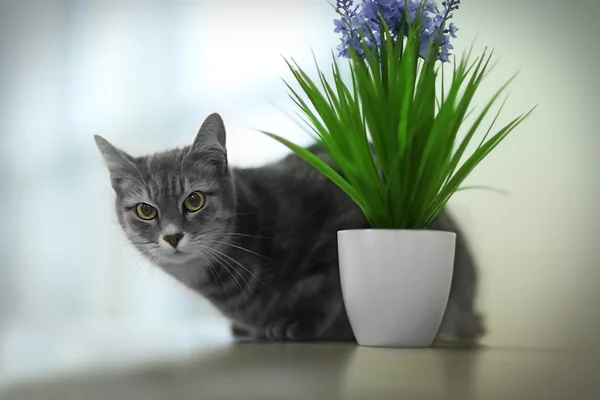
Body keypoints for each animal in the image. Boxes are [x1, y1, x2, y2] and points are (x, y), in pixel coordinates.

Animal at [95, 112, 488, 344]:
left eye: (194, 200)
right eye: (146, 210)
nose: (173, 236)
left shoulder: (346, 214)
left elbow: (328, 286)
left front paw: (297, 324)